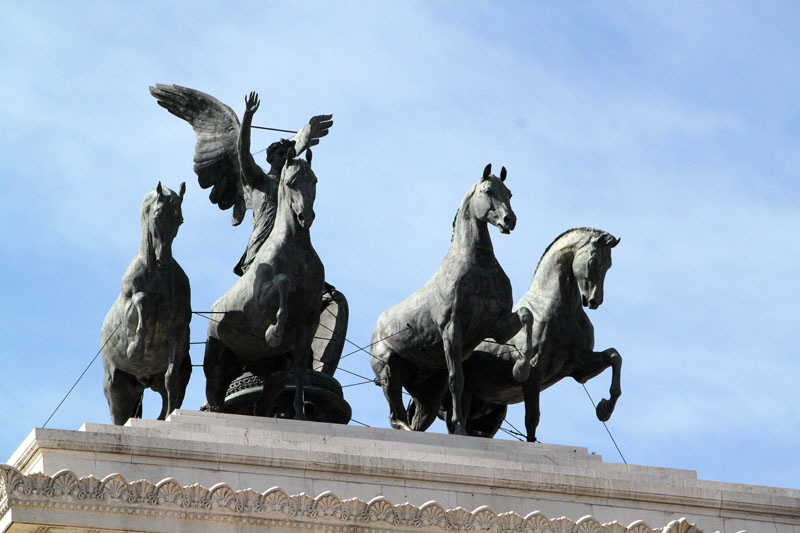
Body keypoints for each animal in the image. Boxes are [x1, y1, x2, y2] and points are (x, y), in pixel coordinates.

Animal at [100, 182, 192, 424]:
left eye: (180, 220)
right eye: (158, 215)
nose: (164, 259)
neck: (157, 275)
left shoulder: (180, 330)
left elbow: (171, 378)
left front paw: (171, 415)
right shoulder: (130, 303)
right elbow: (142, 300)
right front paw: (134, 349)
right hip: (116, 388)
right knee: (119, 417)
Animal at [205, 148, 324, 418]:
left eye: (314, 181)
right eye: (290, 183)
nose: (306, 217)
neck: (296, 250)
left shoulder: (311, 318)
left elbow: (300, 365)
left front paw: (300, 414)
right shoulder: (261, 298)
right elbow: (283, 283)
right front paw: (274, 333)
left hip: (270, 372)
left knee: (263, 404)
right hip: (217, 365)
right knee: (215, 398)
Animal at [370, 164, 536, 434]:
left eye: (509, 193)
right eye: (488, 191)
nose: (509, 220)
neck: (478, 266)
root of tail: (376, 329)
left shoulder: (497, 326)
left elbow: (526, 315)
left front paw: (521, 370)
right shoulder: (452, 329)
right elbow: (457, 379)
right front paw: (459, 427)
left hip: (426, 394)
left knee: (415, 418)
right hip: (388, 372)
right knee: (395, 416)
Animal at [440, 227, 620, 438]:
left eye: (609, 265)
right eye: (593, 261)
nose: (593, 301)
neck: (561, 311)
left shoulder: (579, 367)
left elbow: (614, 356)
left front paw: (604, 409)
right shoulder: (534, 372)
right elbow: (532, 419)